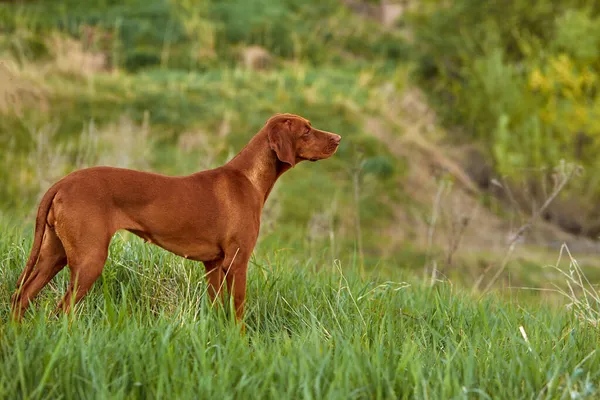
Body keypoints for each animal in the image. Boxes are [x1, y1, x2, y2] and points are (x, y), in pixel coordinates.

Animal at [11, 112, 342, 322]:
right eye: (307, 130)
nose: (338, 138)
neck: (249, 178)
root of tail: (62, 183)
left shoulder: (213, 265)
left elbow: (218, 310)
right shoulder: (237, 261)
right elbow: (237, 312)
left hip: (54, 255)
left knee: (21, 297)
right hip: (90, 260)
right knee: (62, 310)